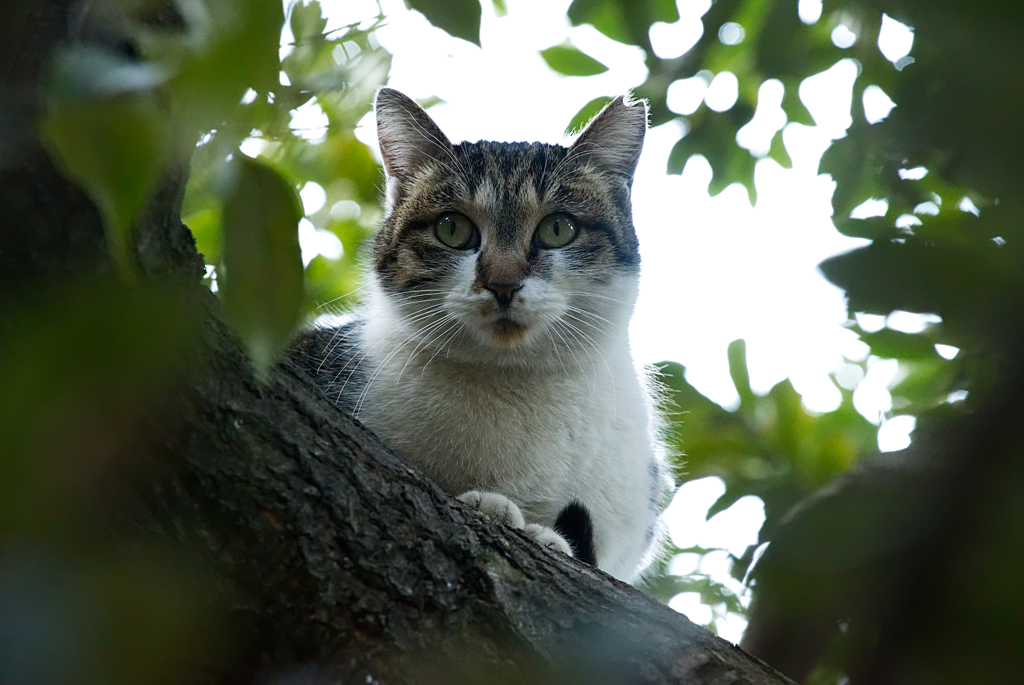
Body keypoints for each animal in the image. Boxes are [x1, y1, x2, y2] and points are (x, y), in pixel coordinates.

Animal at [294, 87, 671, 581]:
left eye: (558, 229)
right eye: (452, 228)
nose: (503, 283)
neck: (513, 384)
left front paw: (550, 538)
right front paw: (494, 507)